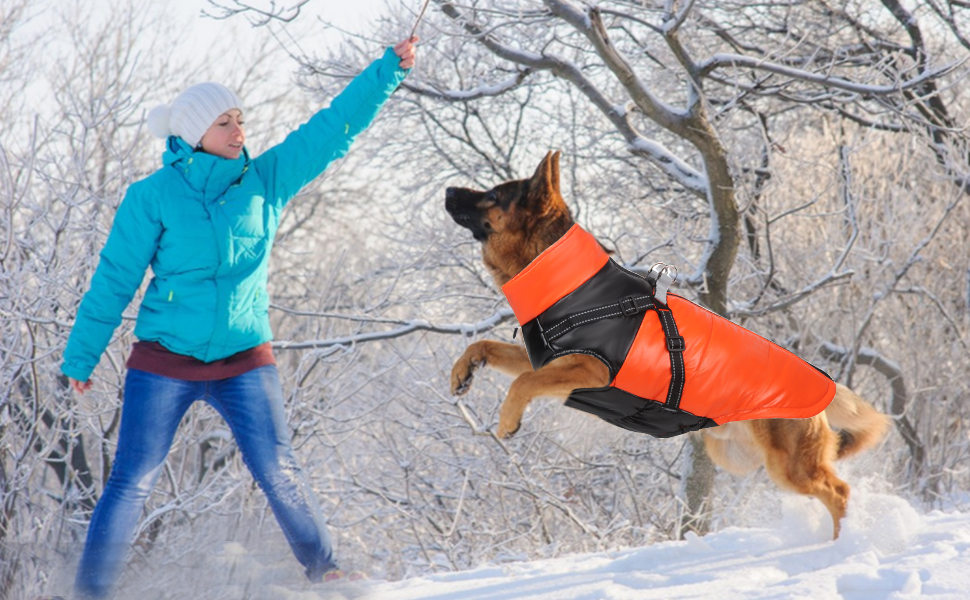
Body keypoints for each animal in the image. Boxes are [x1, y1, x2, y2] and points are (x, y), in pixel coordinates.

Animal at [442, 151, 888, 540]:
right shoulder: (548, 363)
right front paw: (462, 372)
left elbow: (521, 385)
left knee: (840, 493)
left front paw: (506, 420)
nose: (447, 190)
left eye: (492, 195)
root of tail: (827, 387)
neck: (566, 279)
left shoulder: (589, 370)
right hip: (735, 455)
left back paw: (843, 544)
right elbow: (484, 345)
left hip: (789, 466)